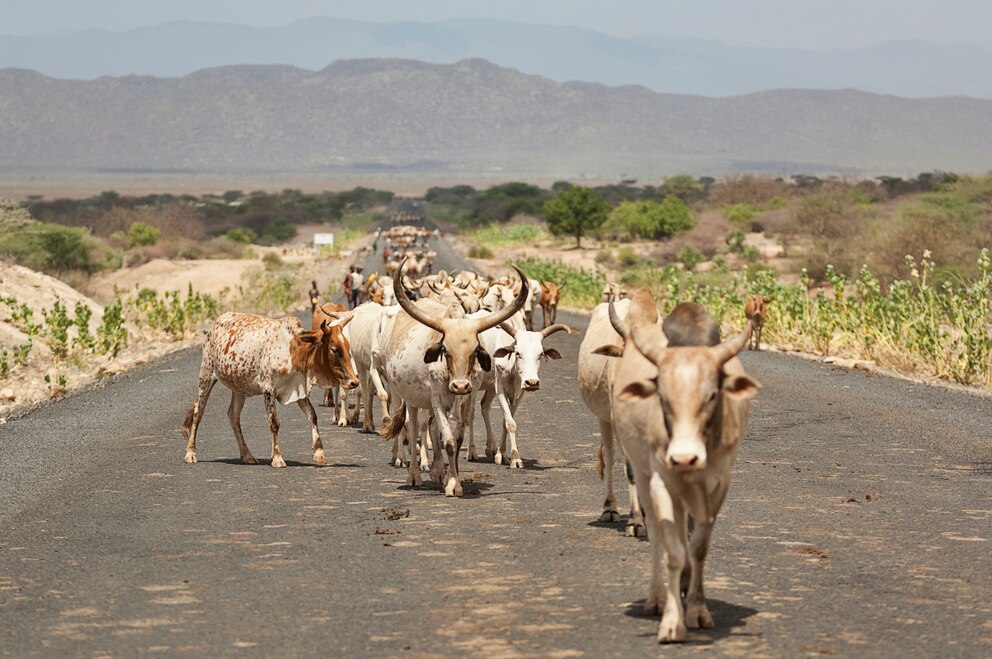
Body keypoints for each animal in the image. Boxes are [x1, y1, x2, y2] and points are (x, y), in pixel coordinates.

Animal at [183, 314, 360, 470]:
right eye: (335, 349)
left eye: (348, 347)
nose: (354, 381)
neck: (293, 350)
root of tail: (216, 322)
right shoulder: (268, 390)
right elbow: (274, 422)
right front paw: (277, 457)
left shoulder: (299, 391)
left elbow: (312, 415)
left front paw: (319, 453)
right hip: (206, 375)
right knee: (198, 411)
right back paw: (190, 453)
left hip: (238, 388)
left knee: (233, 415)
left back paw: (247, 455)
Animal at [378, 260, 528, 498]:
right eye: (445, 351)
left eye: (475, 351)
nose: (459, 385)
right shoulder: (437, 398)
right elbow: (447, 440)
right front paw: (451, 483)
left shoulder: (468, 397)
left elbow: (456, 440)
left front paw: (451, 479)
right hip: (410, 398)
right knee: (413, 426)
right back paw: (414, 475)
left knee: (430, 426)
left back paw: (438, 470)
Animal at [604, 296, 760, 644]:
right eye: (662, 396)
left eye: (712, 395)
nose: (684, 458)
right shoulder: (663, 480)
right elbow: (673, 550)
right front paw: (673, 622)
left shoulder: (717, 484)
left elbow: (699, 546)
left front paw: (699, 610)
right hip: (645, 475)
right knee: (658, 532)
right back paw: (657, 598)